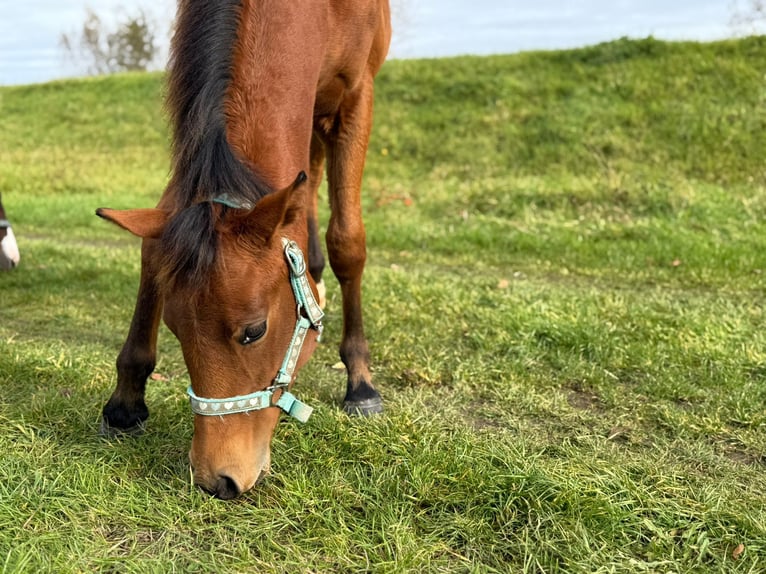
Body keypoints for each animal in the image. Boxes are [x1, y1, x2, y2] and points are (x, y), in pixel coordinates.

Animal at [96, 0, 391, 499]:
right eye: (173, 328)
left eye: (254, 331)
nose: (218, 479)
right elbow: (155, 247)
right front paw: (126, 401)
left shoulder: (355, 94)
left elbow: (347, 242)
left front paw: (360, 381)